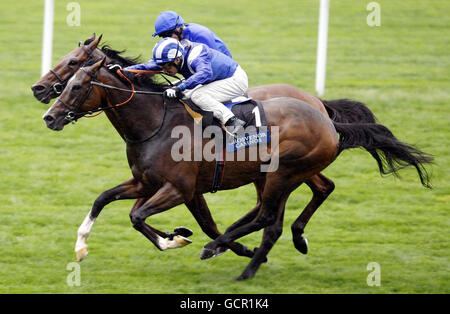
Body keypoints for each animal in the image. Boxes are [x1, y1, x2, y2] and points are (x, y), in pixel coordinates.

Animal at [43, 58, 432, 280]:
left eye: (76, 84)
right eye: (67, 79)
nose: (48, 114)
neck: (155, 123)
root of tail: (326, 119)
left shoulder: (180, 189)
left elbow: (140, 217)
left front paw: (177, 239)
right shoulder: (145, 182)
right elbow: (104, 199)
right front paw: (81, 246)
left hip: (282, 173)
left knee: (270, 217)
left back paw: (238, 258)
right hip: (276, 176)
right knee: (282, 210)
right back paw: (267, 246)